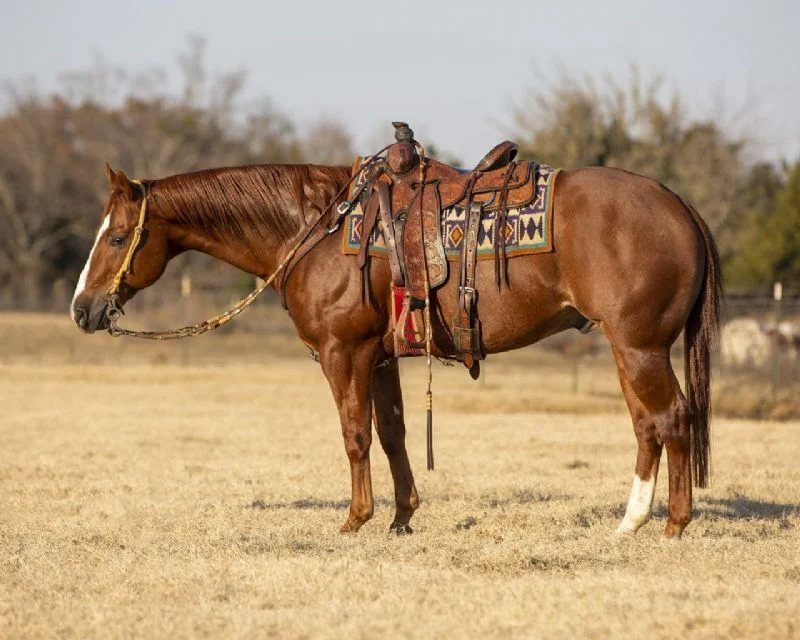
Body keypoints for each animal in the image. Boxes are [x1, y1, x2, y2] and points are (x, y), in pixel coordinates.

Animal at [71, 157, 722, 538]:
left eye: (120, 237)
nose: (82, 308)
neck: (317, 227)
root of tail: (679, 205)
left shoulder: (345, 353)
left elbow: (355, 434)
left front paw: (355, 520)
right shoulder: (380, 358)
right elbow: (392, 434)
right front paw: (402, 516)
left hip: (639, 347)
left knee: (672, 419)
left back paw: (674, 526)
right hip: (629, 349)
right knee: (648, 426)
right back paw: (630, 523)